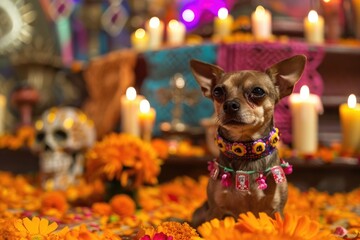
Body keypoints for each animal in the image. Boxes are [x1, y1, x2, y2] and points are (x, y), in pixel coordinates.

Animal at [190, 54, 306, 227]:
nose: (229, 104)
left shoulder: (275, 210)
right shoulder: (215, 211)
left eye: (258, 91)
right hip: (200, 213)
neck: (246, 151)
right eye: (217, 91)